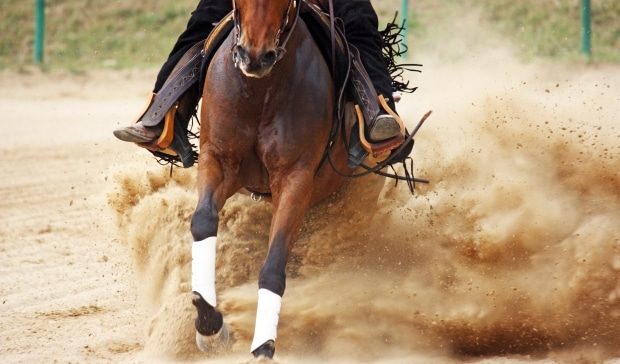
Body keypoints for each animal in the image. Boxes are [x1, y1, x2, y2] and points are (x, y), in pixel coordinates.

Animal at [189, 0, 364, 360]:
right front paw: (209, 324)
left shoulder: (295, 179)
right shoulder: (218, 160)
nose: (255, 57)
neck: (261, 93)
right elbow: (202, 222)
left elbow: (273, 266)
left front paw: (264, 345)